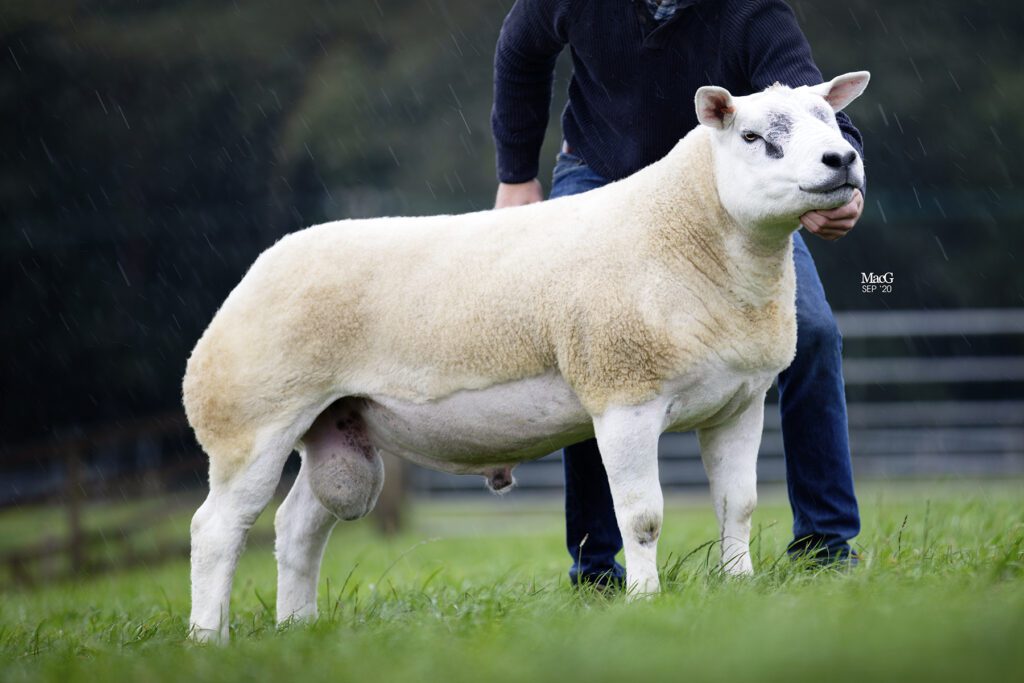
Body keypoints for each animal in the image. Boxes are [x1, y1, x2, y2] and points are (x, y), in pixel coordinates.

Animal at [184, 72, 870, 642]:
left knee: (297, 528)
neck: (686, 238)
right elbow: (642, 516)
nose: (842, 160)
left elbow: (739, 505)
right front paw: (646, 602)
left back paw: (298, 628)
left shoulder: (740, 403)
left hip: (333, 423)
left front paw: (740, 589)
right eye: (753, 136)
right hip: (253, 420)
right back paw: (208, 639)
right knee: (215, 530)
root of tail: (260, 265)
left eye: (831, 120)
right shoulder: (624, 397)